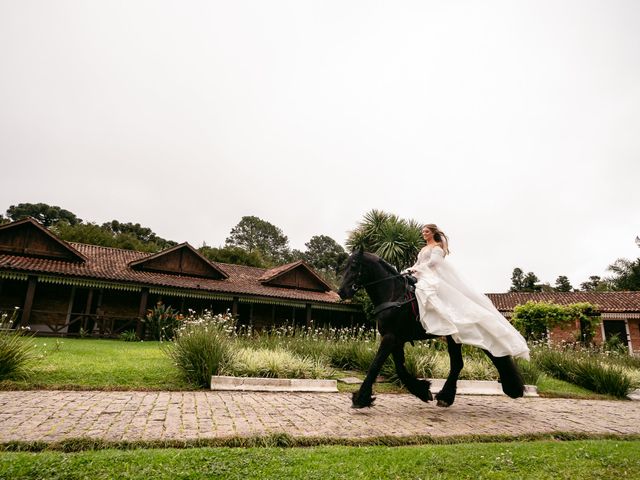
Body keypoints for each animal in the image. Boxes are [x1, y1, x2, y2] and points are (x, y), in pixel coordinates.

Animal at [338, 251, 524, 408]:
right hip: (454, 338)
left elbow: (375, 365)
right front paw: (422, 390)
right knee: (459, 363)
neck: (394, 295)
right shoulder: (396, 339)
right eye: (344, 266)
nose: (342, 292)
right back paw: (447, 397)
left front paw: (360, 398)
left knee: (477, 358)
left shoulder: (390, 337)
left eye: (354, 266)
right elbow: (400, 369)